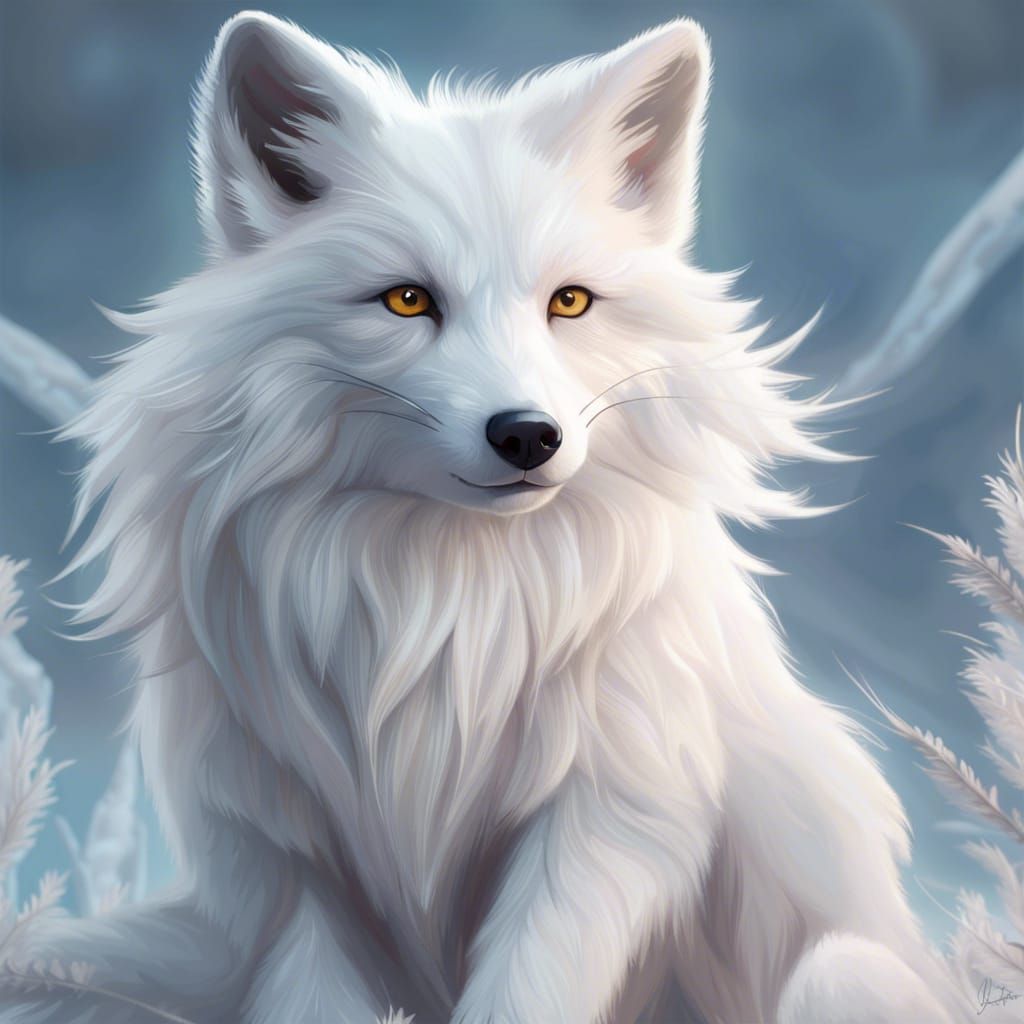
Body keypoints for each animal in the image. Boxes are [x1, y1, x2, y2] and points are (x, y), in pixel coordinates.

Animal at [5, 11, 969, 1024]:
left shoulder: (604, 827)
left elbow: (525, 992)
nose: (528, 436)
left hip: (841, 973)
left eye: (570, 301)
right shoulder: (295, 866)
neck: (440, 609)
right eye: (407, 298)